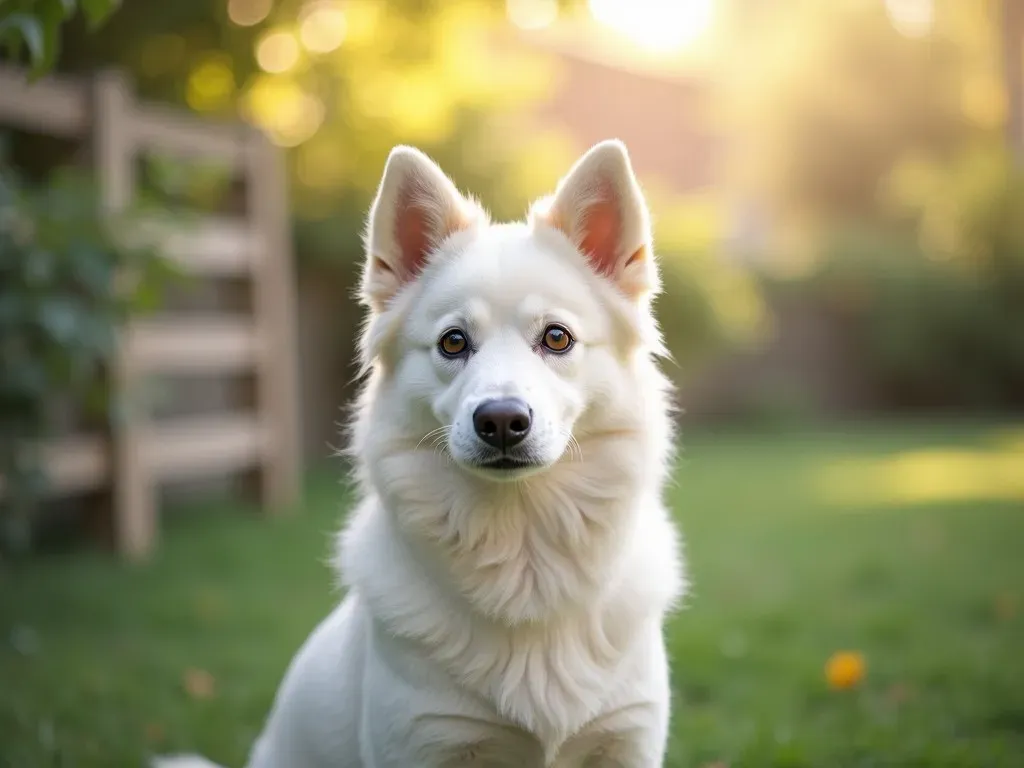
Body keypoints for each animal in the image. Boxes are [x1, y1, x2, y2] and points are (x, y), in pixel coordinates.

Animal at [155, 140, 684, 768]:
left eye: (557, 338)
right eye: (453, 342)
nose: (500, 421)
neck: (522, 556)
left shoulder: (629, 739)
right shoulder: (424, 740)